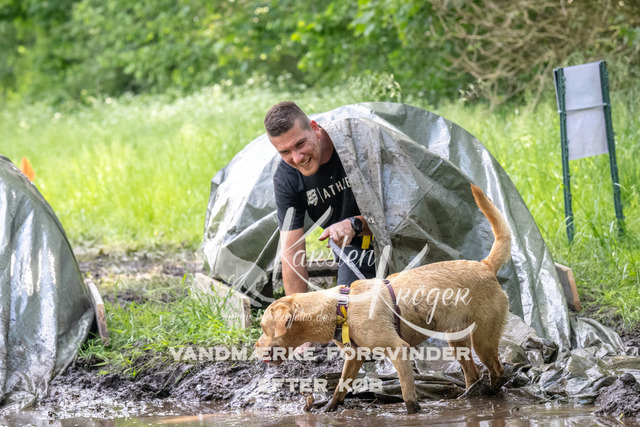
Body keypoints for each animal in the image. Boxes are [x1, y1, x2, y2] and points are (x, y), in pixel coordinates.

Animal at [255, 184, 511, 414]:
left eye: (264, 327)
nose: (255, 348)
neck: (341, 307)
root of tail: (485, 266)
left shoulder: (399, 350)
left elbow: (409, 400)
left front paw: (413, 413)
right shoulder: (354, 358)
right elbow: (340, 389)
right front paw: (327, 408)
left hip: (483, 340)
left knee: (498, 371)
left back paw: (489, 393)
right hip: (457, 341)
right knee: (473, 375)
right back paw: (469, 398)